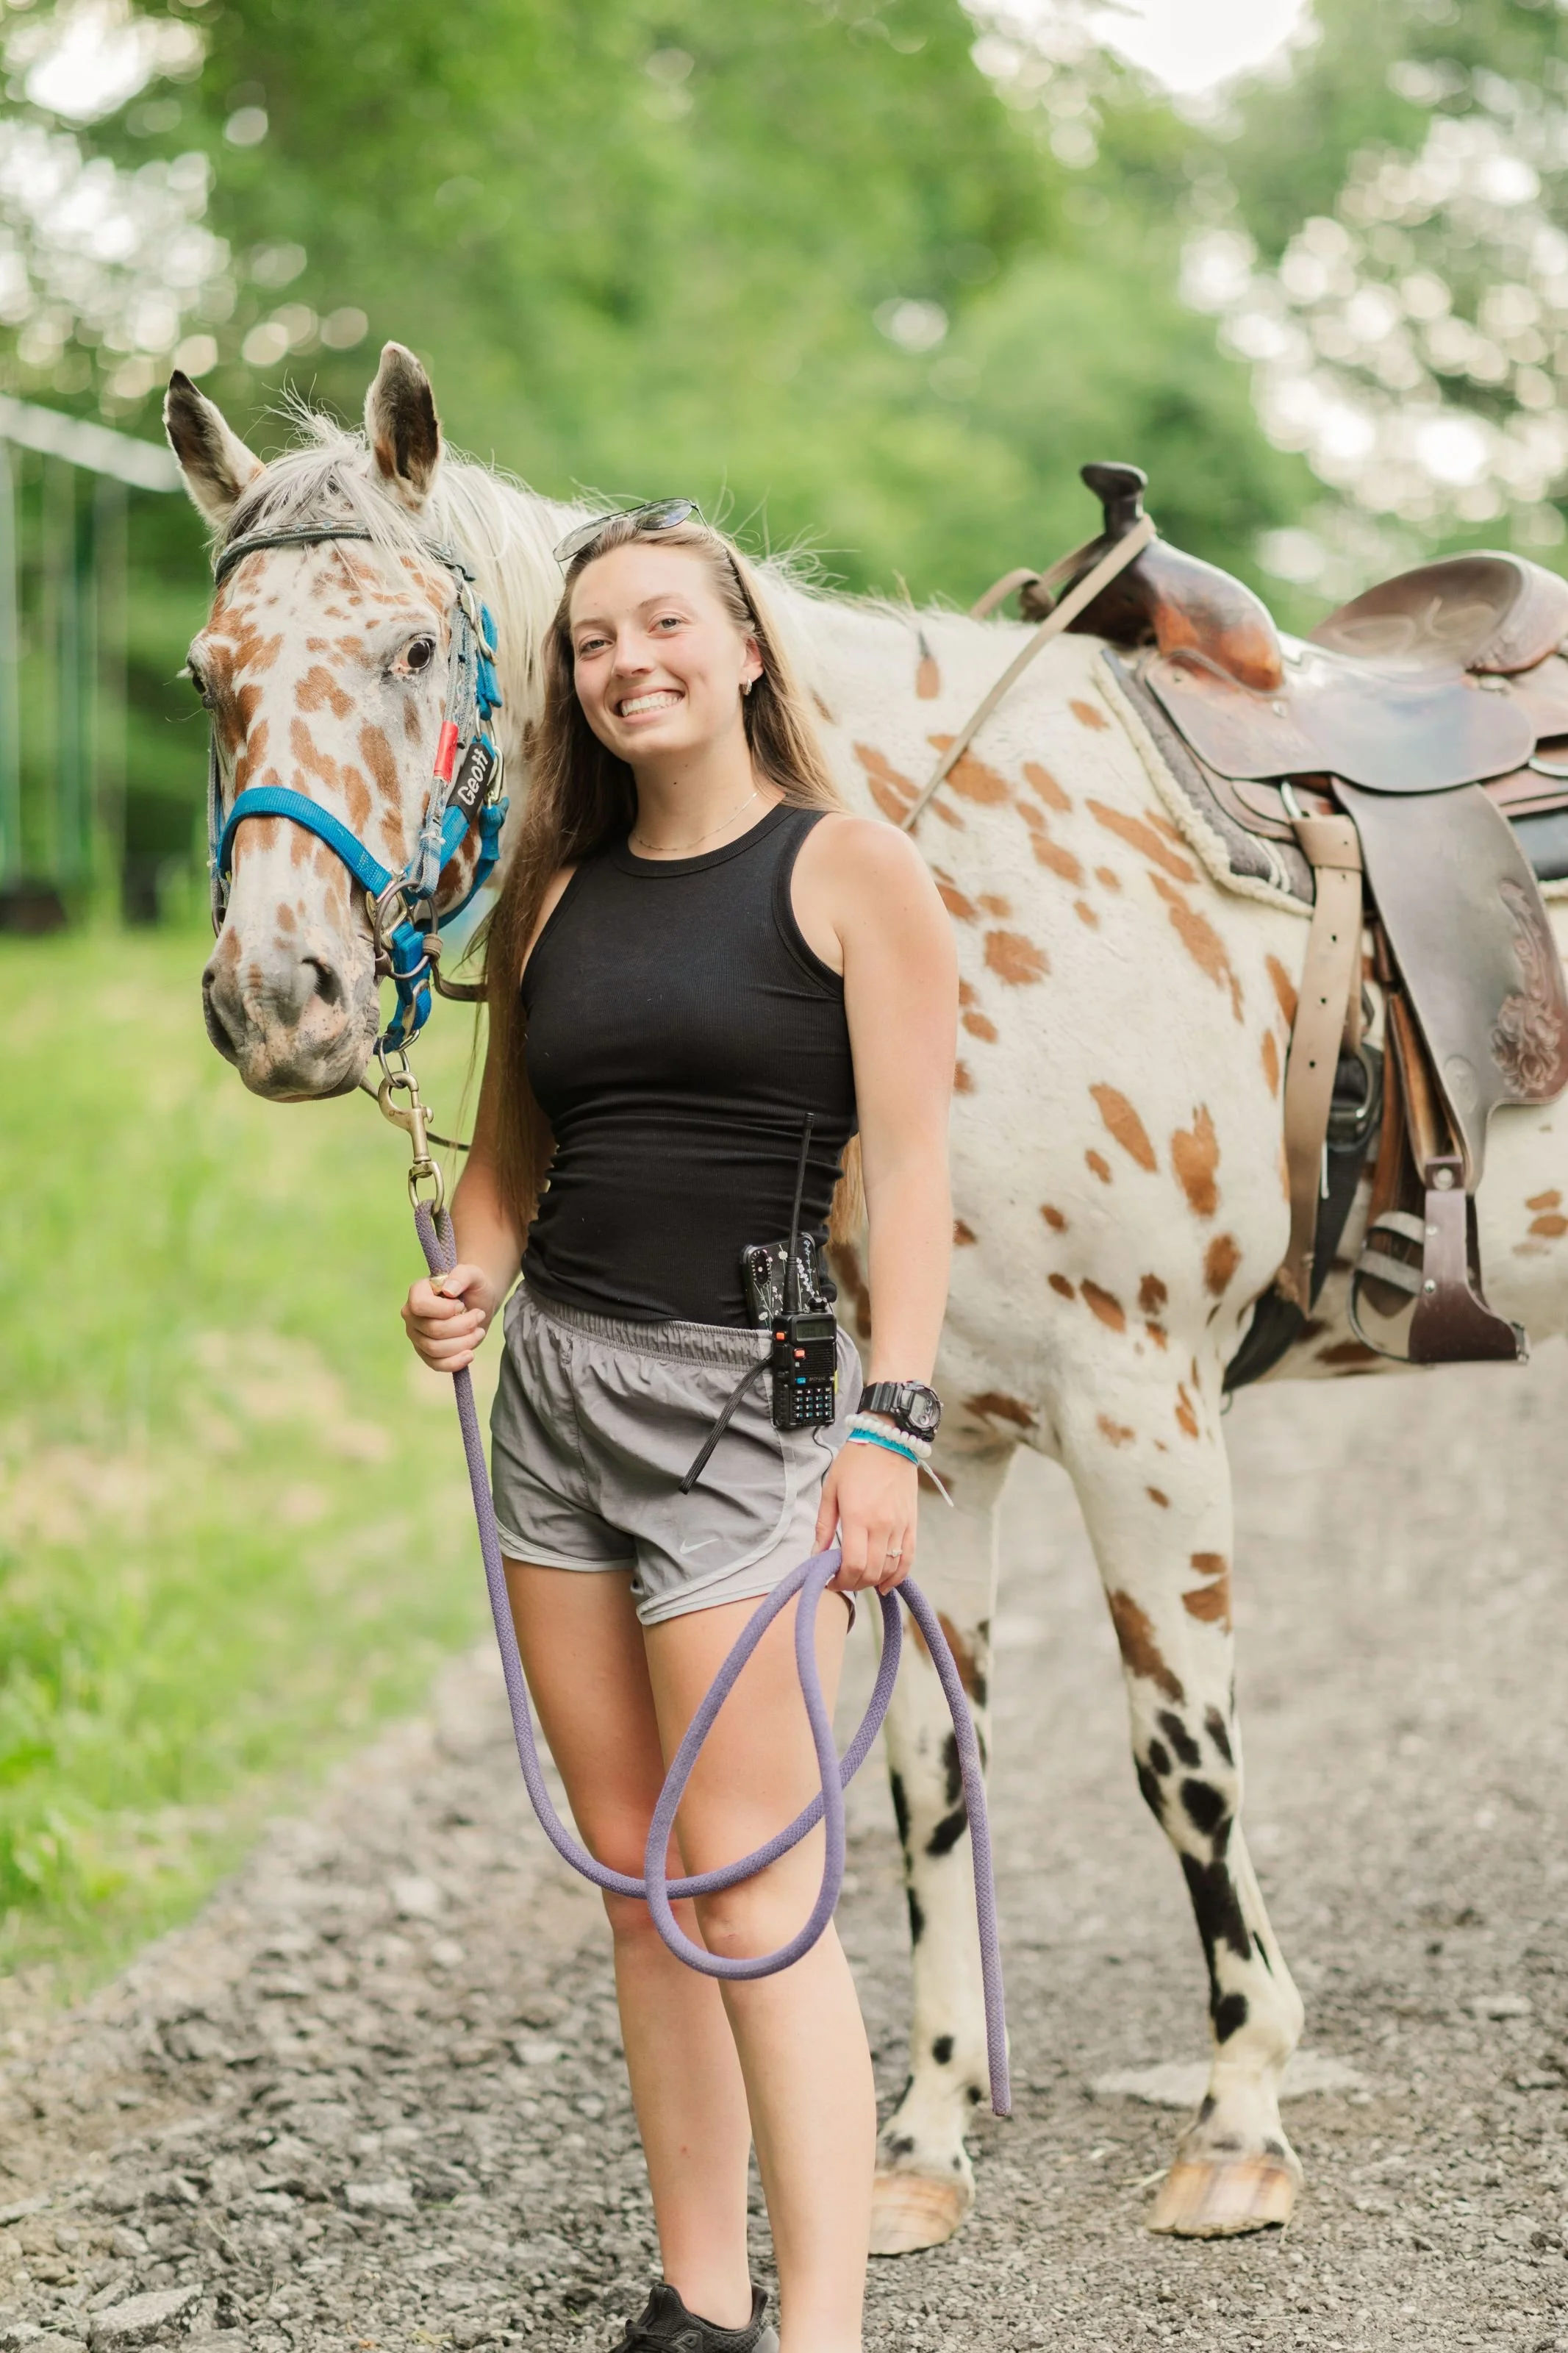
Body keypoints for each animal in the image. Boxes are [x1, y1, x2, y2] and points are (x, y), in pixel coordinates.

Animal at [165, 341, 1568, 2252]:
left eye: (406, 651)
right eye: (205, 676)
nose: (276, 998)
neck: (956, 901)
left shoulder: (1137, 1413)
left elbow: (1180, 1759)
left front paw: (1237, 2115)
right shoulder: (941, 1449)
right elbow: (925, 1779)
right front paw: (922, 2136)